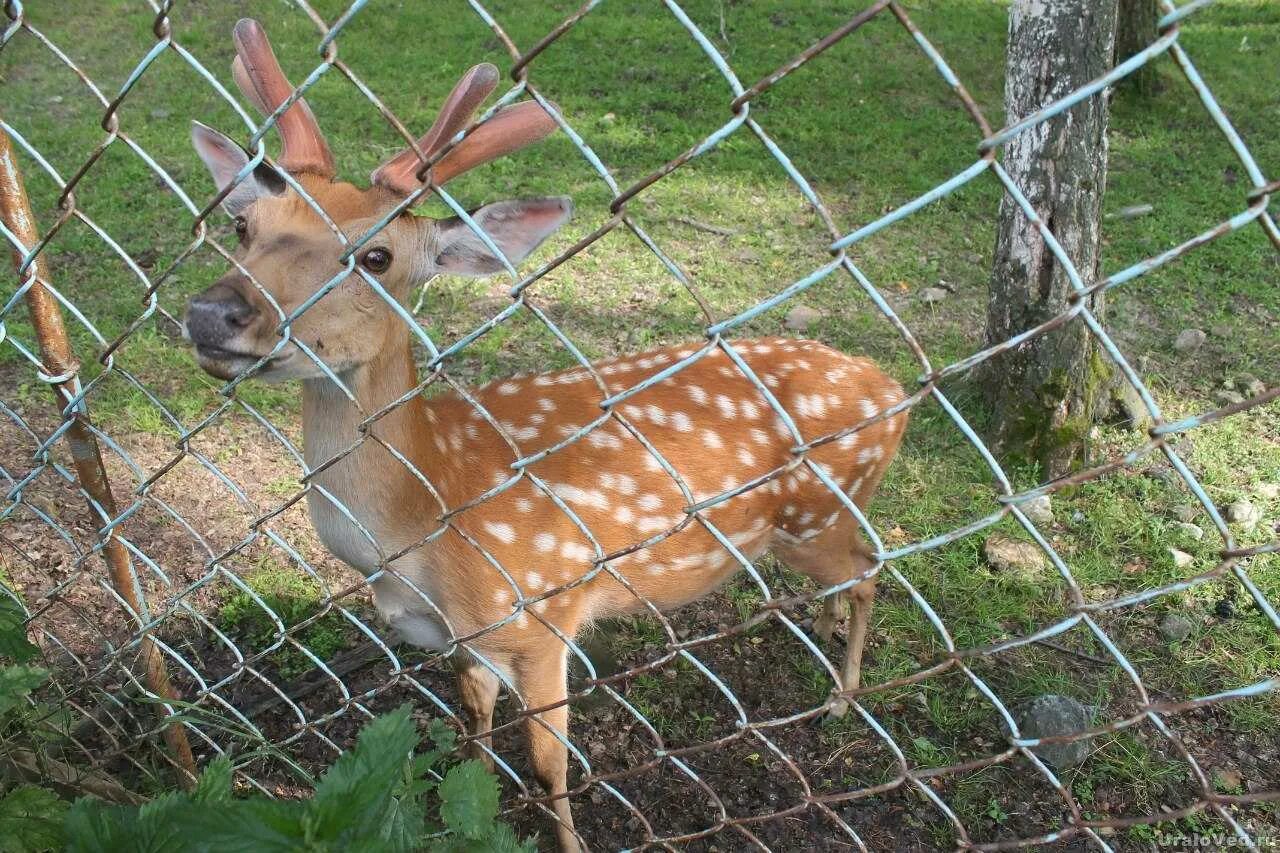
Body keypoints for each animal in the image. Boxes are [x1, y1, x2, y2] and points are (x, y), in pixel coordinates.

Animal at [185, 16, 911, 845]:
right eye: (242, 224)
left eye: (376, 255)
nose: (213, 313)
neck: (422, 520)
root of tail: (893, 389)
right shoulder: (463, 637)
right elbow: (470, 725)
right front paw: (459, 803)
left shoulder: (539, 616)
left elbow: (547, 765)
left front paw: (565, 834)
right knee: (854, 570)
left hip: (815, 514)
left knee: (872, 565)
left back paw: (841, 698)